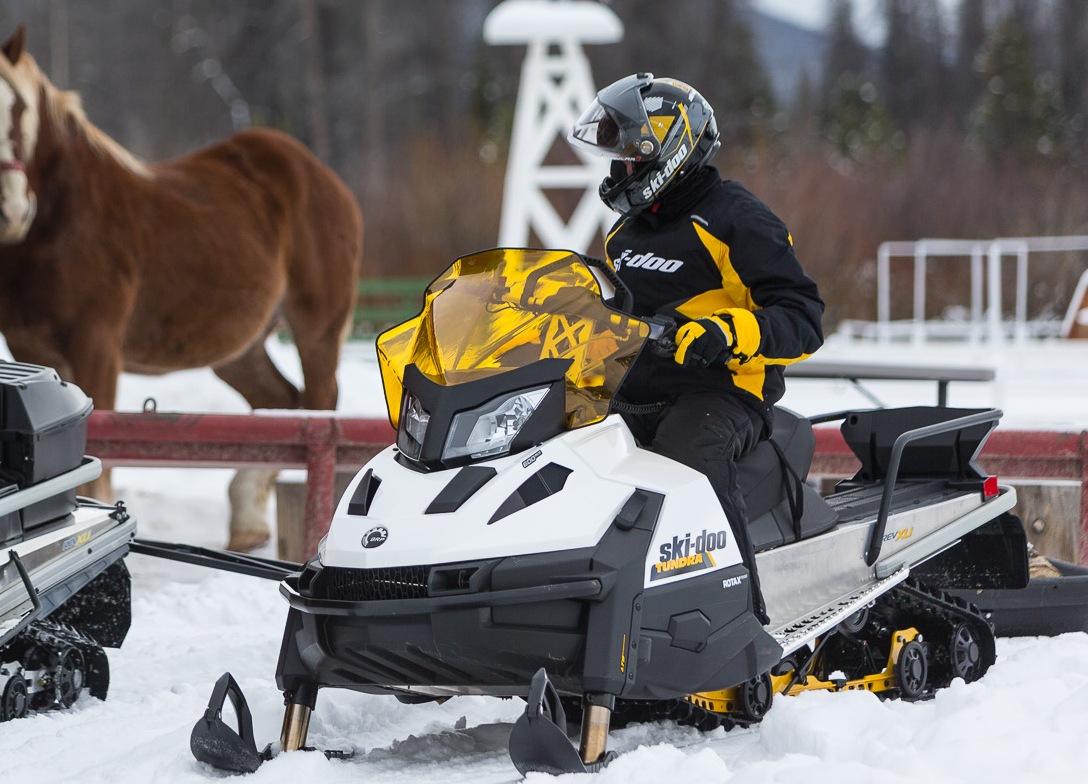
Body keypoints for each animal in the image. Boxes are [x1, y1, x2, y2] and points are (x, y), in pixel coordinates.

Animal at [0, 25, 365, 550]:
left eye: (19, 109)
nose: (11, 210)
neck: (59, 219)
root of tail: (319, 174)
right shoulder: (28, 347)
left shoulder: (97, 346)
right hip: (240, 350)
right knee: (282, 403)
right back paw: (247, 520)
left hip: (317, 329)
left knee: (317, 411)